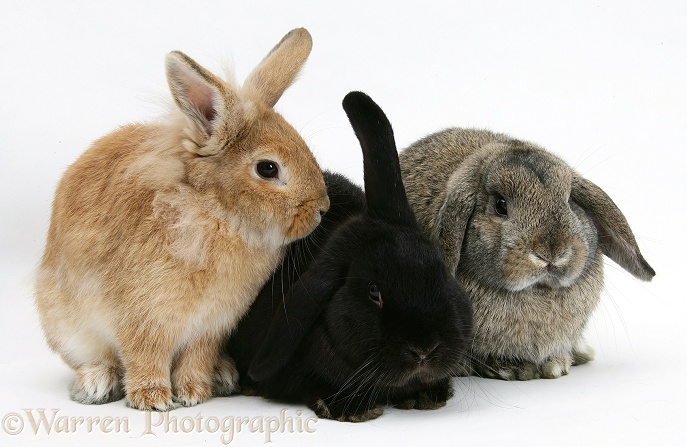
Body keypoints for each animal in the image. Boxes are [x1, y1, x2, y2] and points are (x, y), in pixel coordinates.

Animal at [33, 28, 330, 412]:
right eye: (268, 168)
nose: (322, 208)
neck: (217, 214)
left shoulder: (211, 326)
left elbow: (195, 358)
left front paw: (193, 394)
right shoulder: (143, 318)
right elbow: (144, 357)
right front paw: (153, 400)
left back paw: (222, 376)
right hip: (66, 326)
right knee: (93, 359)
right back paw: (97, 384)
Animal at [400, 129, 660, 382]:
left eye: (569, 200)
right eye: (500, 205)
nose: (552, 253)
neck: (537, 291)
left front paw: (557, 364)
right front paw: (514, 369)